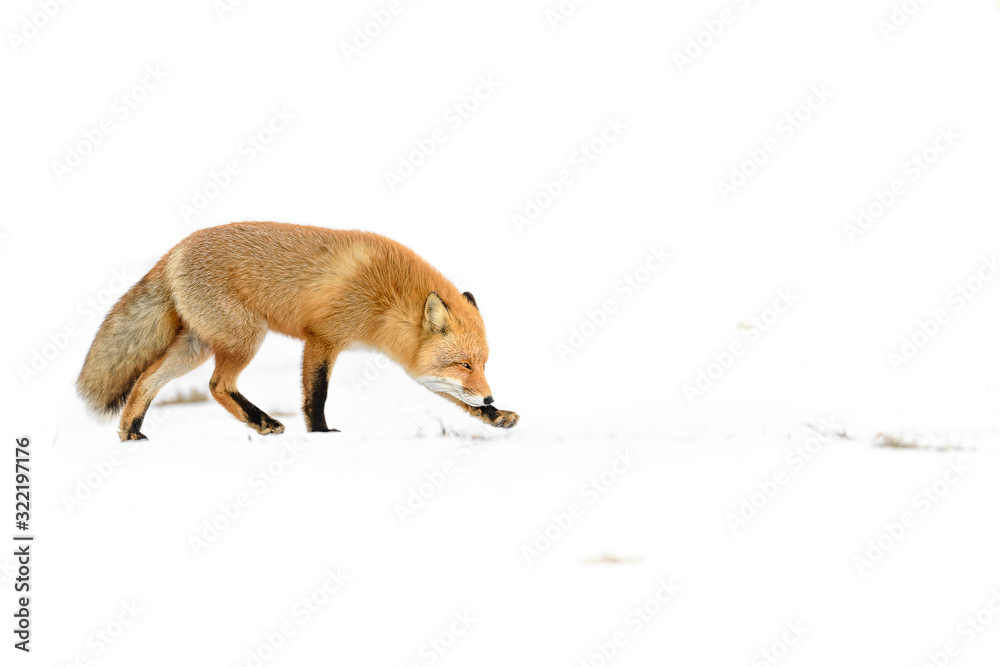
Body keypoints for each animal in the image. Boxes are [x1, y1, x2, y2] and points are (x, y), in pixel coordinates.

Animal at [77, 222, 519, 440]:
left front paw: (495, 415)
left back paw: (131, 433)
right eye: (463, 364)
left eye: (481, 364)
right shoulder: (322, 337)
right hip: (244, 338)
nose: (490, 395)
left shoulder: (414, 364)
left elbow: (457, 400)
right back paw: (262, 423)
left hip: (197, 346)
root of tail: (174, 250)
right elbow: (316, 394)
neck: (386, 296)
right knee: (217, 386)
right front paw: (321, 434)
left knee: (147, 381)